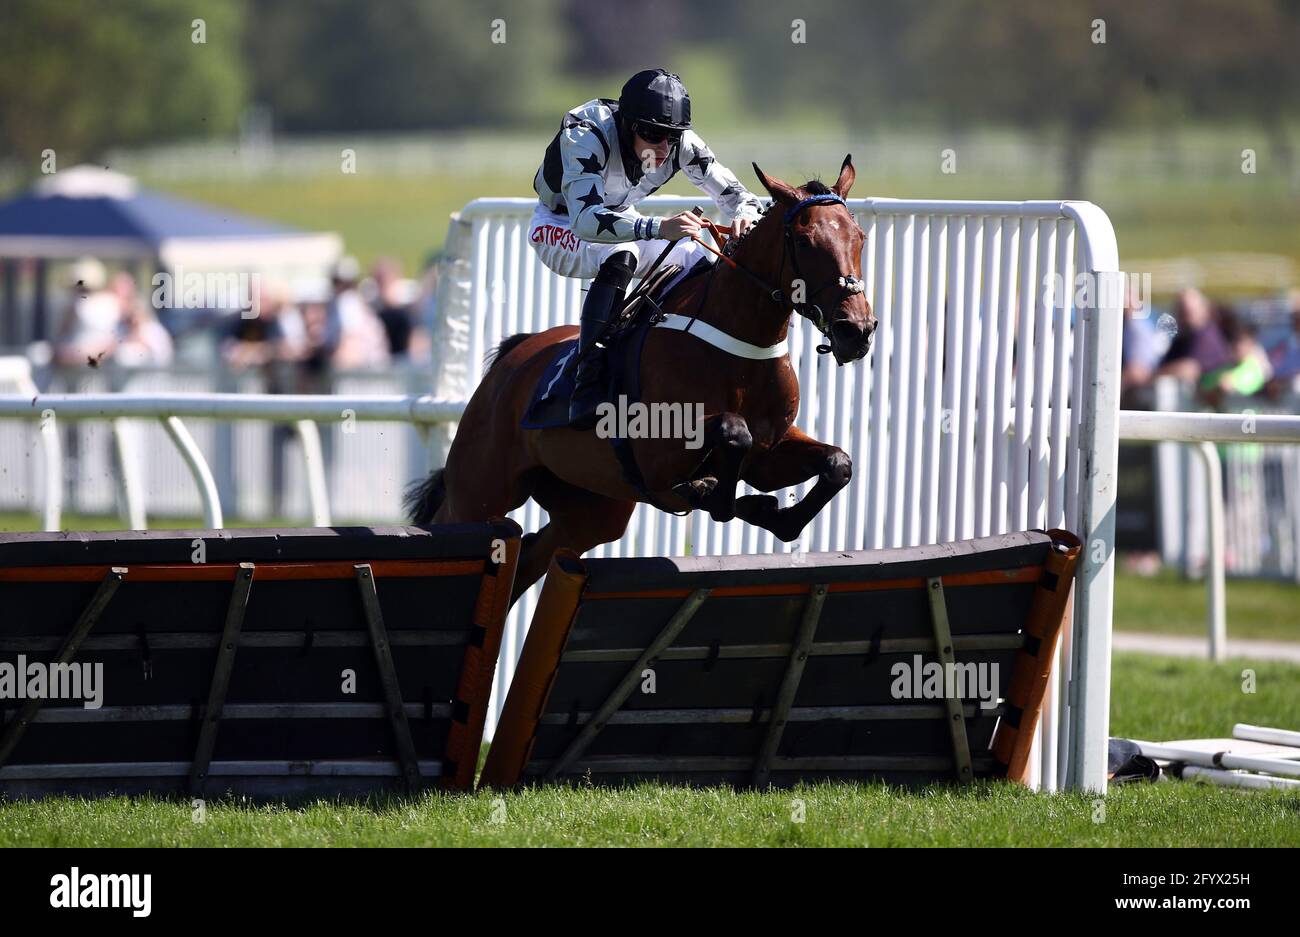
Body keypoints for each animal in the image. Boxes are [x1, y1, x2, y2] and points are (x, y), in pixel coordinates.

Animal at [405, 155, 873, 603]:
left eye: (859, 237)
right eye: (806, 241)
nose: (857, 330)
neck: (739, 348)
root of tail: (511, 360)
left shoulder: (767, 455)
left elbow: (837, 464)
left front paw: (771, 513)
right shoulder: (657, 455)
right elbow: (730, 434)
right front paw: (717, 492)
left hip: (591, 509)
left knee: (534, 555)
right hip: (480, 490)